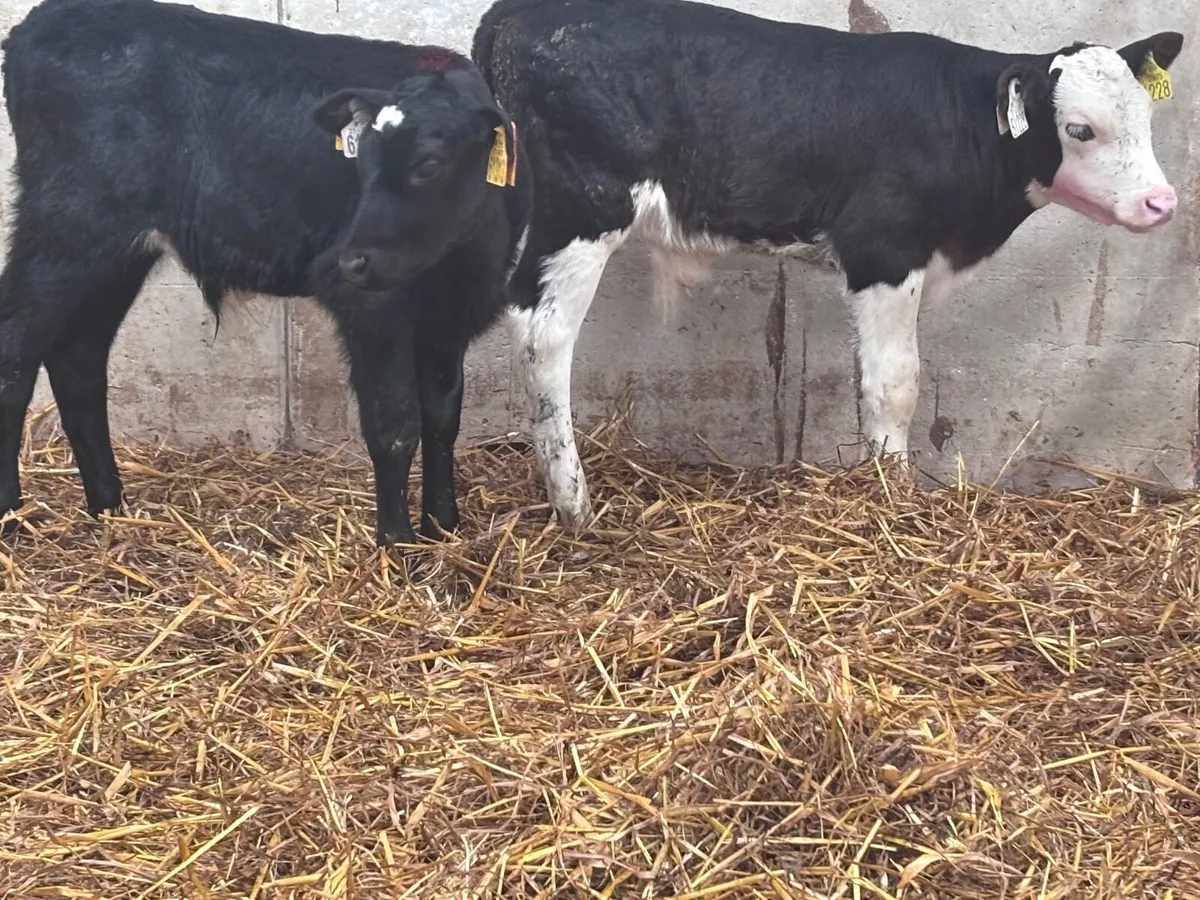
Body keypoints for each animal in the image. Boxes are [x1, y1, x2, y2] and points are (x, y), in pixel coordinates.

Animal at [0, 0, 531, 548]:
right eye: (362, 163)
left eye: (429, 164)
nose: (351, 260)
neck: (458, 263)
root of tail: (41, 22)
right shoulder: (371, 308)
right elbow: (394, 423)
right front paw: (397, 543)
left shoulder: (450, 318)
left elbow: (443, 419)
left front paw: (443, 526)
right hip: (64, 224)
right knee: (15, 349)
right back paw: (11, 511)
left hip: (118, 249)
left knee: (78, 356)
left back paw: (109, 505)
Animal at [471, 0, 1183, 531]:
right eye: (1080, 129)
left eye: (1146, 118)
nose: (1162, 202)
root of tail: (517, 13)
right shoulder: (885, 250)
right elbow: (896, 382)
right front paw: (896, 498)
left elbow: (868, 378)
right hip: (584, 208)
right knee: (543, 333)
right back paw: (573, 504)